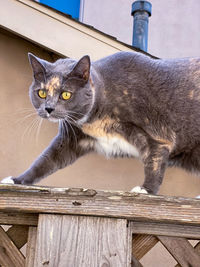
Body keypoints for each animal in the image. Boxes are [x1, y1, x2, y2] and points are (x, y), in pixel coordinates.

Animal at [2, 51, 200, 195]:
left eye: (66, 94)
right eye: (41, 93)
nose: (49, 108)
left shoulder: (157, 134)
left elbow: (154, 162)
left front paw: (146, 190)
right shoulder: (71, 138)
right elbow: (46, 160)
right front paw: (17, 180)